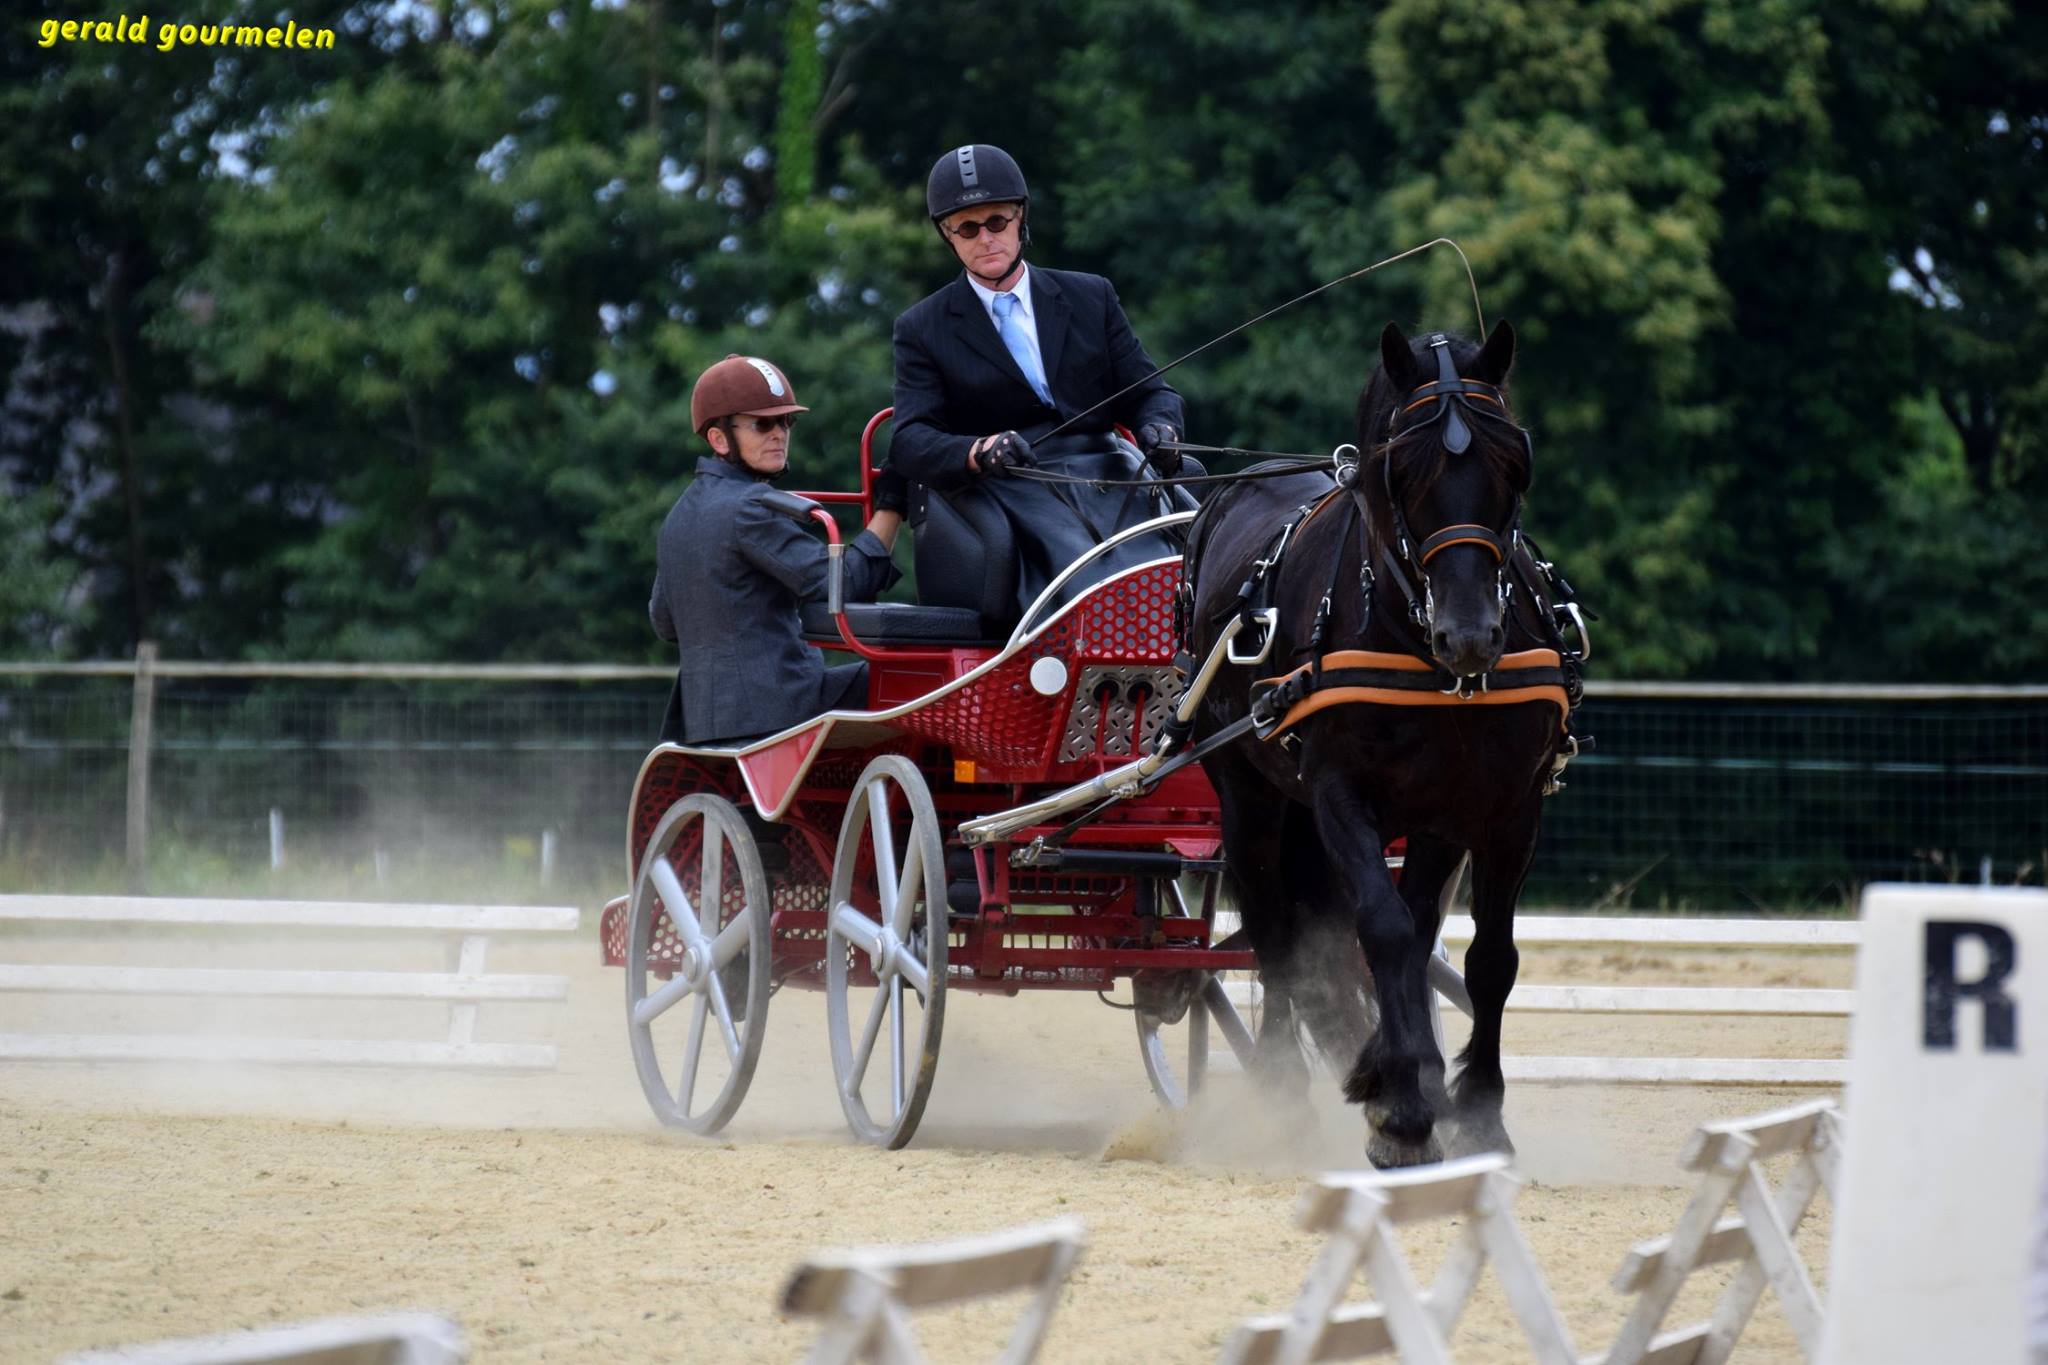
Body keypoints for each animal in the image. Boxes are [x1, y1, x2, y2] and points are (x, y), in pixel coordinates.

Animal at [1184, 319, 1577, 1167]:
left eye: (1513, 462)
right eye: (1405, 469)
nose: (1470, 634)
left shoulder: (1508, 809)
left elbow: (1488, 958)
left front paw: (1474, 1111)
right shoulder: (1338, 793)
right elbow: (1384, 931)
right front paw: (1399, 1110)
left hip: (1425, 819)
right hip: (1250, 794)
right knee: (1277, 933)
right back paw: (1287, 1094)